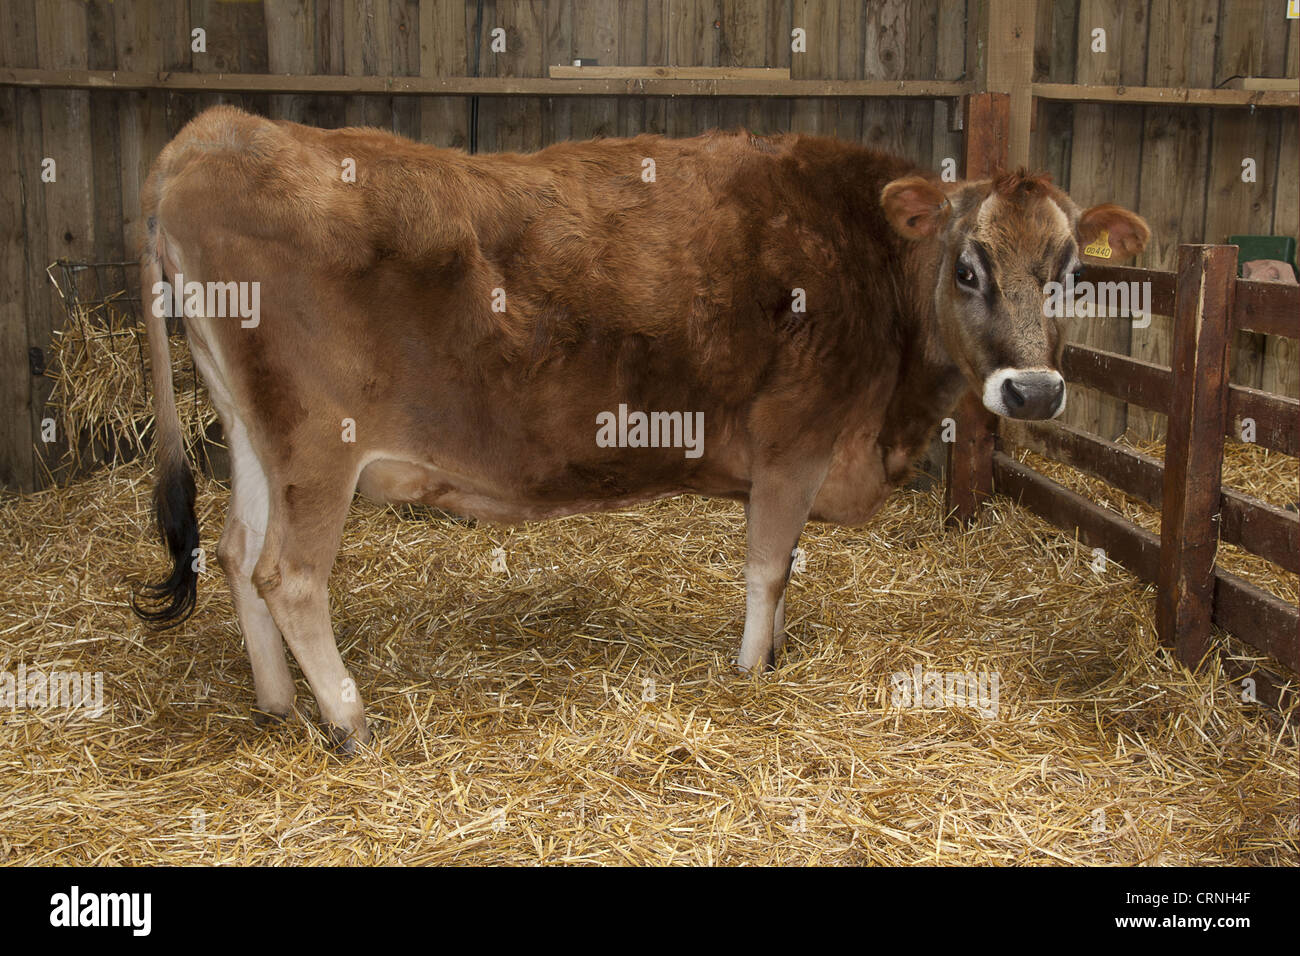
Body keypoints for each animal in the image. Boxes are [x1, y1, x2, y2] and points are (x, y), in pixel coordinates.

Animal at [134, 104, 1149, 749]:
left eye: (1072, 271)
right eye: (969, 268)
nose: (1033, 392)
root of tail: (215, 132)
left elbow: (785, 568)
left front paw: (775, 651)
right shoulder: (796, 437)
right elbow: (767, 566)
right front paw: (752, 672)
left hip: (251, 430)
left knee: (236, 553)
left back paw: (277, 706)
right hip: (318, 444)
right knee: (289, 575)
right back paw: (348, 721)